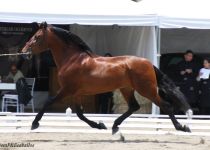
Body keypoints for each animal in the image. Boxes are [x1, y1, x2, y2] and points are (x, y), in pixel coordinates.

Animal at [20, 22, 192, 134]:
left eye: (37, 36)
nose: (23, 53)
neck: (73, 59)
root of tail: (149, 62)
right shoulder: (76, 93)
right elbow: (79, 113)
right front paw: (99, 125)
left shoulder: (67, 90)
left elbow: (48, 102)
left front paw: (34, 123)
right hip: (127, 89)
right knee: (134, 107)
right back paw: (115, 126)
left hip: (146, 89)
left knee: (166, 105)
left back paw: (182, 127)